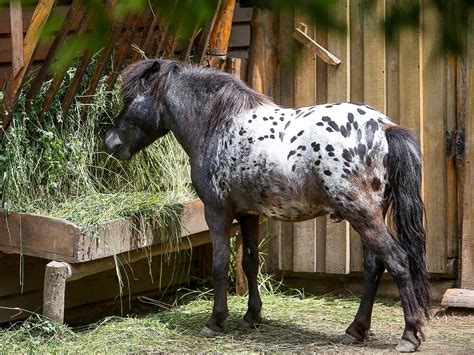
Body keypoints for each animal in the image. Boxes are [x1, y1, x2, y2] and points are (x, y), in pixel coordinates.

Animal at [106, 59, 430, 354]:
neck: (217, 126)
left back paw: (409, 335)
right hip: (368, 216)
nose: (110, 142)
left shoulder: (217, 212)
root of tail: (385, 127)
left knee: (397, 260)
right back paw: (356, 329)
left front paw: (215, 320)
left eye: (130, 99)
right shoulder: (248, 215)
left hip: (362, 215)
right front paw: (251, 317)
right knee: (375, 265)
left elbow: (220, 263)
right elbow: (250, 262)